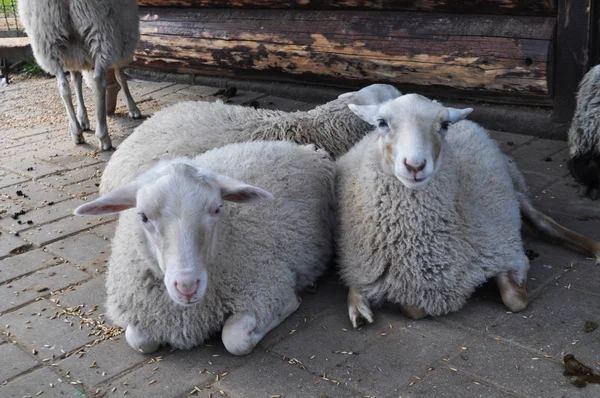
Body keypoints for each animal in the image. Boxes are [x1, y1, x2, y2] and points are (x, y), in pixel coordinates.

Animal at [17, 0, 142, 151]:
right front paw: (133, 109)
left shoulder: (72, 55)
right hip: (102, 28)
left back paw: (76, 132)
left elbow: (76, 80)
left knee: (63, 86)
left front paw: (83, 119)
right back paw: (103, 137)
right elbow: (120, 76)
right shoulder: (123, 37)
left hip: (47, 36)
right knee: (98, 79)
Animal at [73, 141, 336, 354]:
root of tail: (303, 147)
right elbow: (138, 340)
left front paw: (290, 305)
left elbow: (235, 340)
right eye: (143, 216)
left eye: (218, 208)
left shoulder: (266, 287)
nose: (187, 287)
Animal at [336, 93, 600, 326]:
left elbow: (515, 300)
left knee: (542, 221)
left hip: (512, 192)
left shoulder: (501, 249)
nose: (415, 166)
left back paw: (593, 247)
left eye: (444, 125)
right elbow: (411, 308)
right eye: (382, 123)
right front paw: (361, 306)